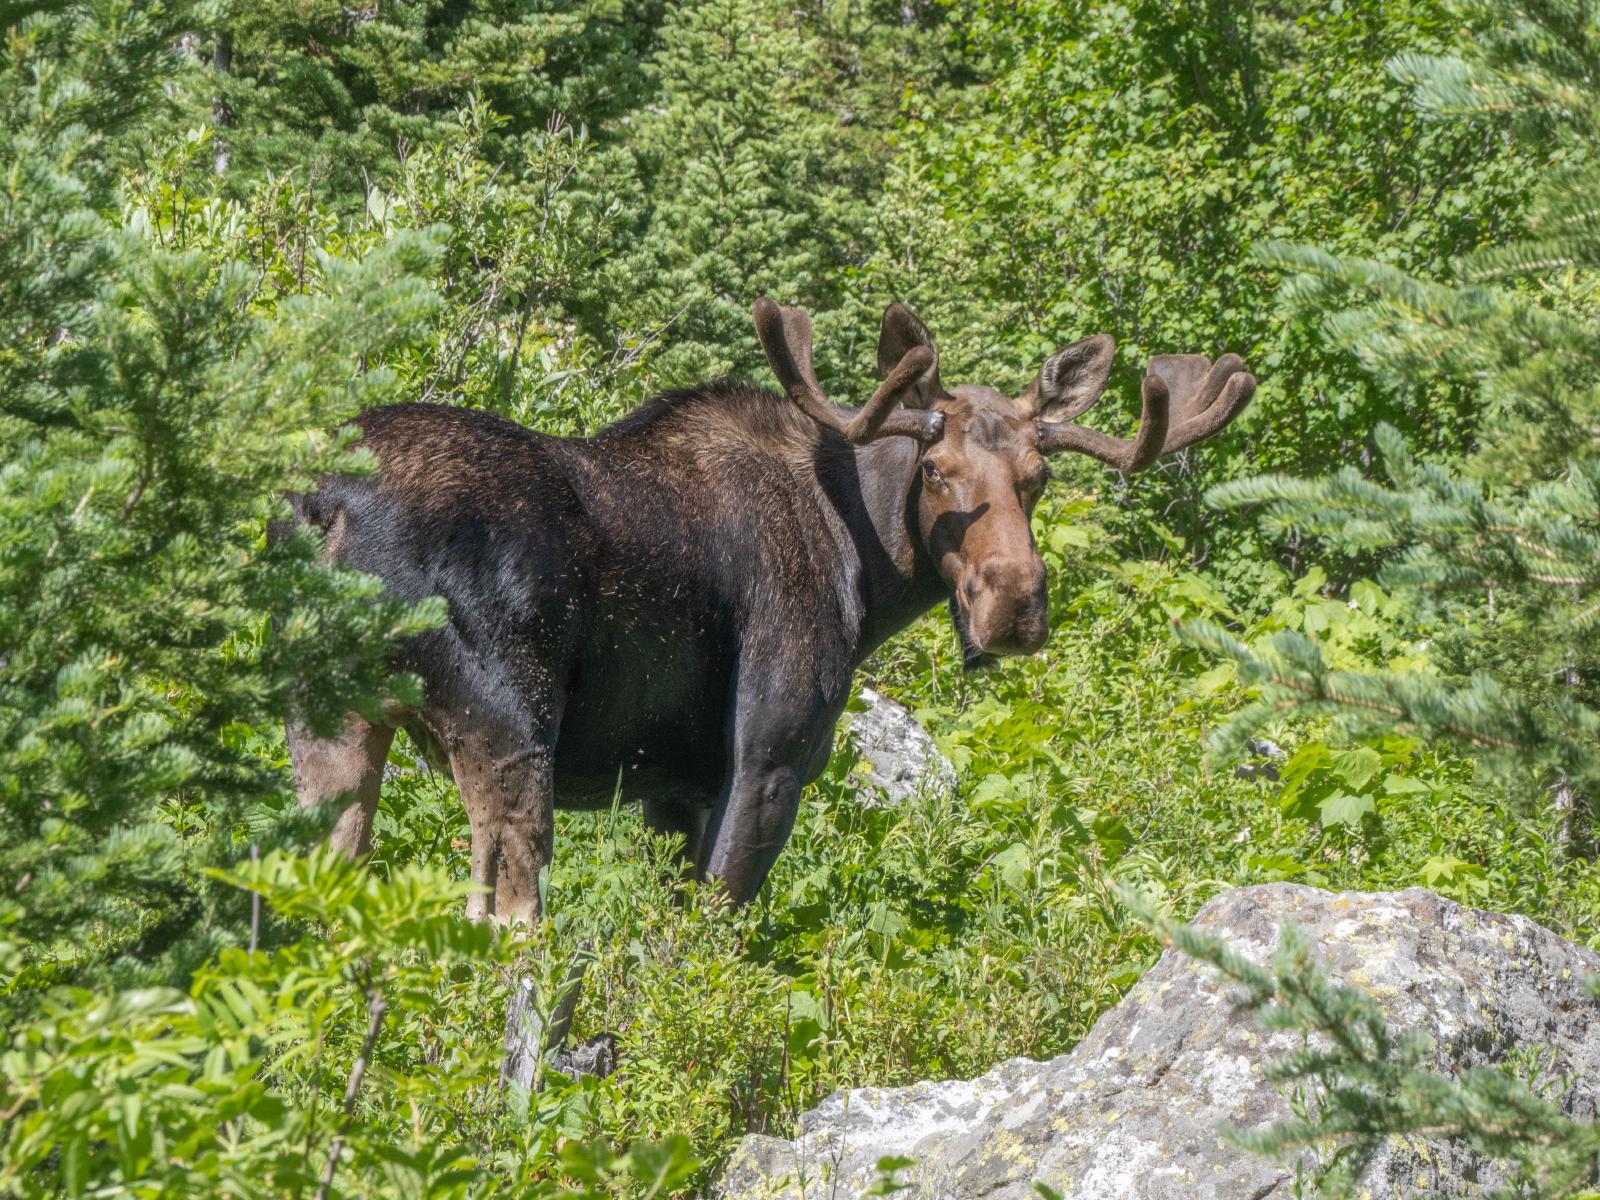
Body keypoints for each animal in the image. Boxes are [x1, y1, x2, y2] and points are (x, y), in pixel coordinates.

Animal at [284, 300, 1255, 923]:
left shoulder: (671, 788)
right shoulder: (767, 760)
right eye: (937, 472)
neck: (868, 570)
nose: (1014, 604)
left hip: (330, 723)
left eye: (1039, 477)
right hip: (510, 723)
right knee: (508, 924)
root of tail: (323, 505)